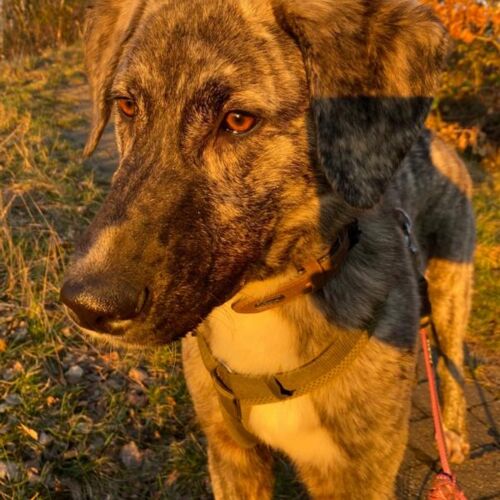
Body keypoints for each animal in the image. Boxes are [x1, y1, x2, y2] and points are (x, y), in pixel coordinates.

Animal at [61, 0, 475, 497]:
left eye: (238, 120)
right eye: (126, 105)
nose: (86, 307)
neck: (267, 301)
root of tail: (437, 142)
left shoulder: (358, 476)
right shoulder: (231, 454)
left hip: (451, 294)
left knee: (452, 366)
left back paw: (453, 434)